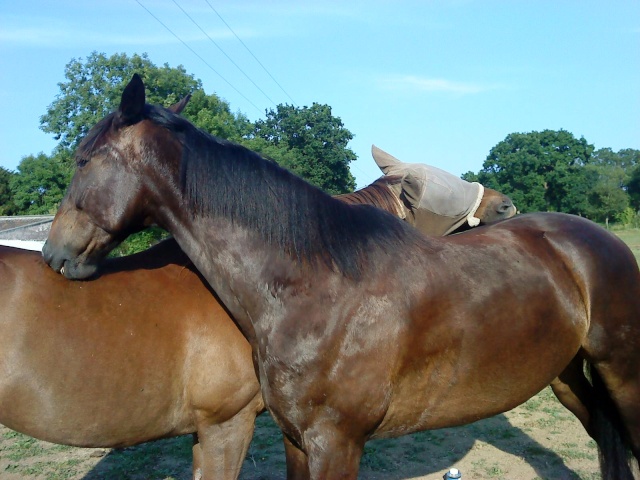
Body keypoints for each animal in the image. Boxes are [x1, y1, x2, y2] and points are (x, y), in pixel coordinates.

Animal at [42, 73, 636, 478]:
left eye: (83, 160)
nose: (52, 254)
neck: (315, 291)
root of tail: (597, 240)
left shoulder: (338, 443)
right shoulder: (297, 439)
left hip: (622, 373)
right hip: (566, 375)